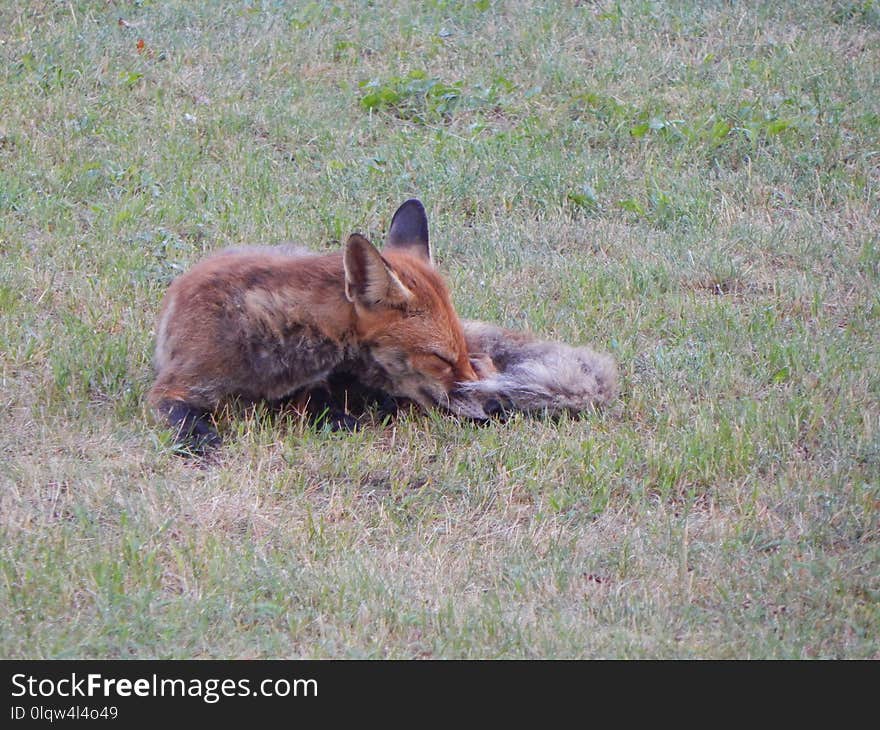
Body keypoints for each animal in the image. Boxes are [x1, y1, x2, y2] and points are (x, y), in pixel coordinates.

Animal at [146, 199, 488, 450]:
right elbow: (185, 421)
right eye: (440, 358)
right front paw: (203, 442)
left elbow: (316, 401)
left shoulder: (312, 385)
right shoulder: (175, 386)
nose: (489, 408)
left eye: (462, 352)